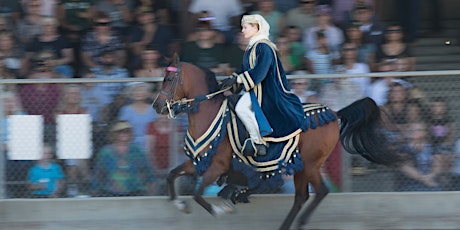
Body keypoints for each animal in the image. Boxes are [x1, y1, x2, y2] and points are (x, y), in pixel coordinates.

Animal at [152, 56, 402, 230]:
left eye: (170, 79)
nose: (157, 105)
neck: (210, 114)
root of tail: (334, 113)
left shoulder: (217, 166)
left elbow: (198, 193)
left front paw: (220, 209)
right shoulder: (197, 162)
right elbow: (171, 175)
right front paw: (179, 204)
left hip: (311, 164)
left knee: (320, 192)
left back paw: (298, 222)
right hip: (301, 167)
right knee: (301, 197)